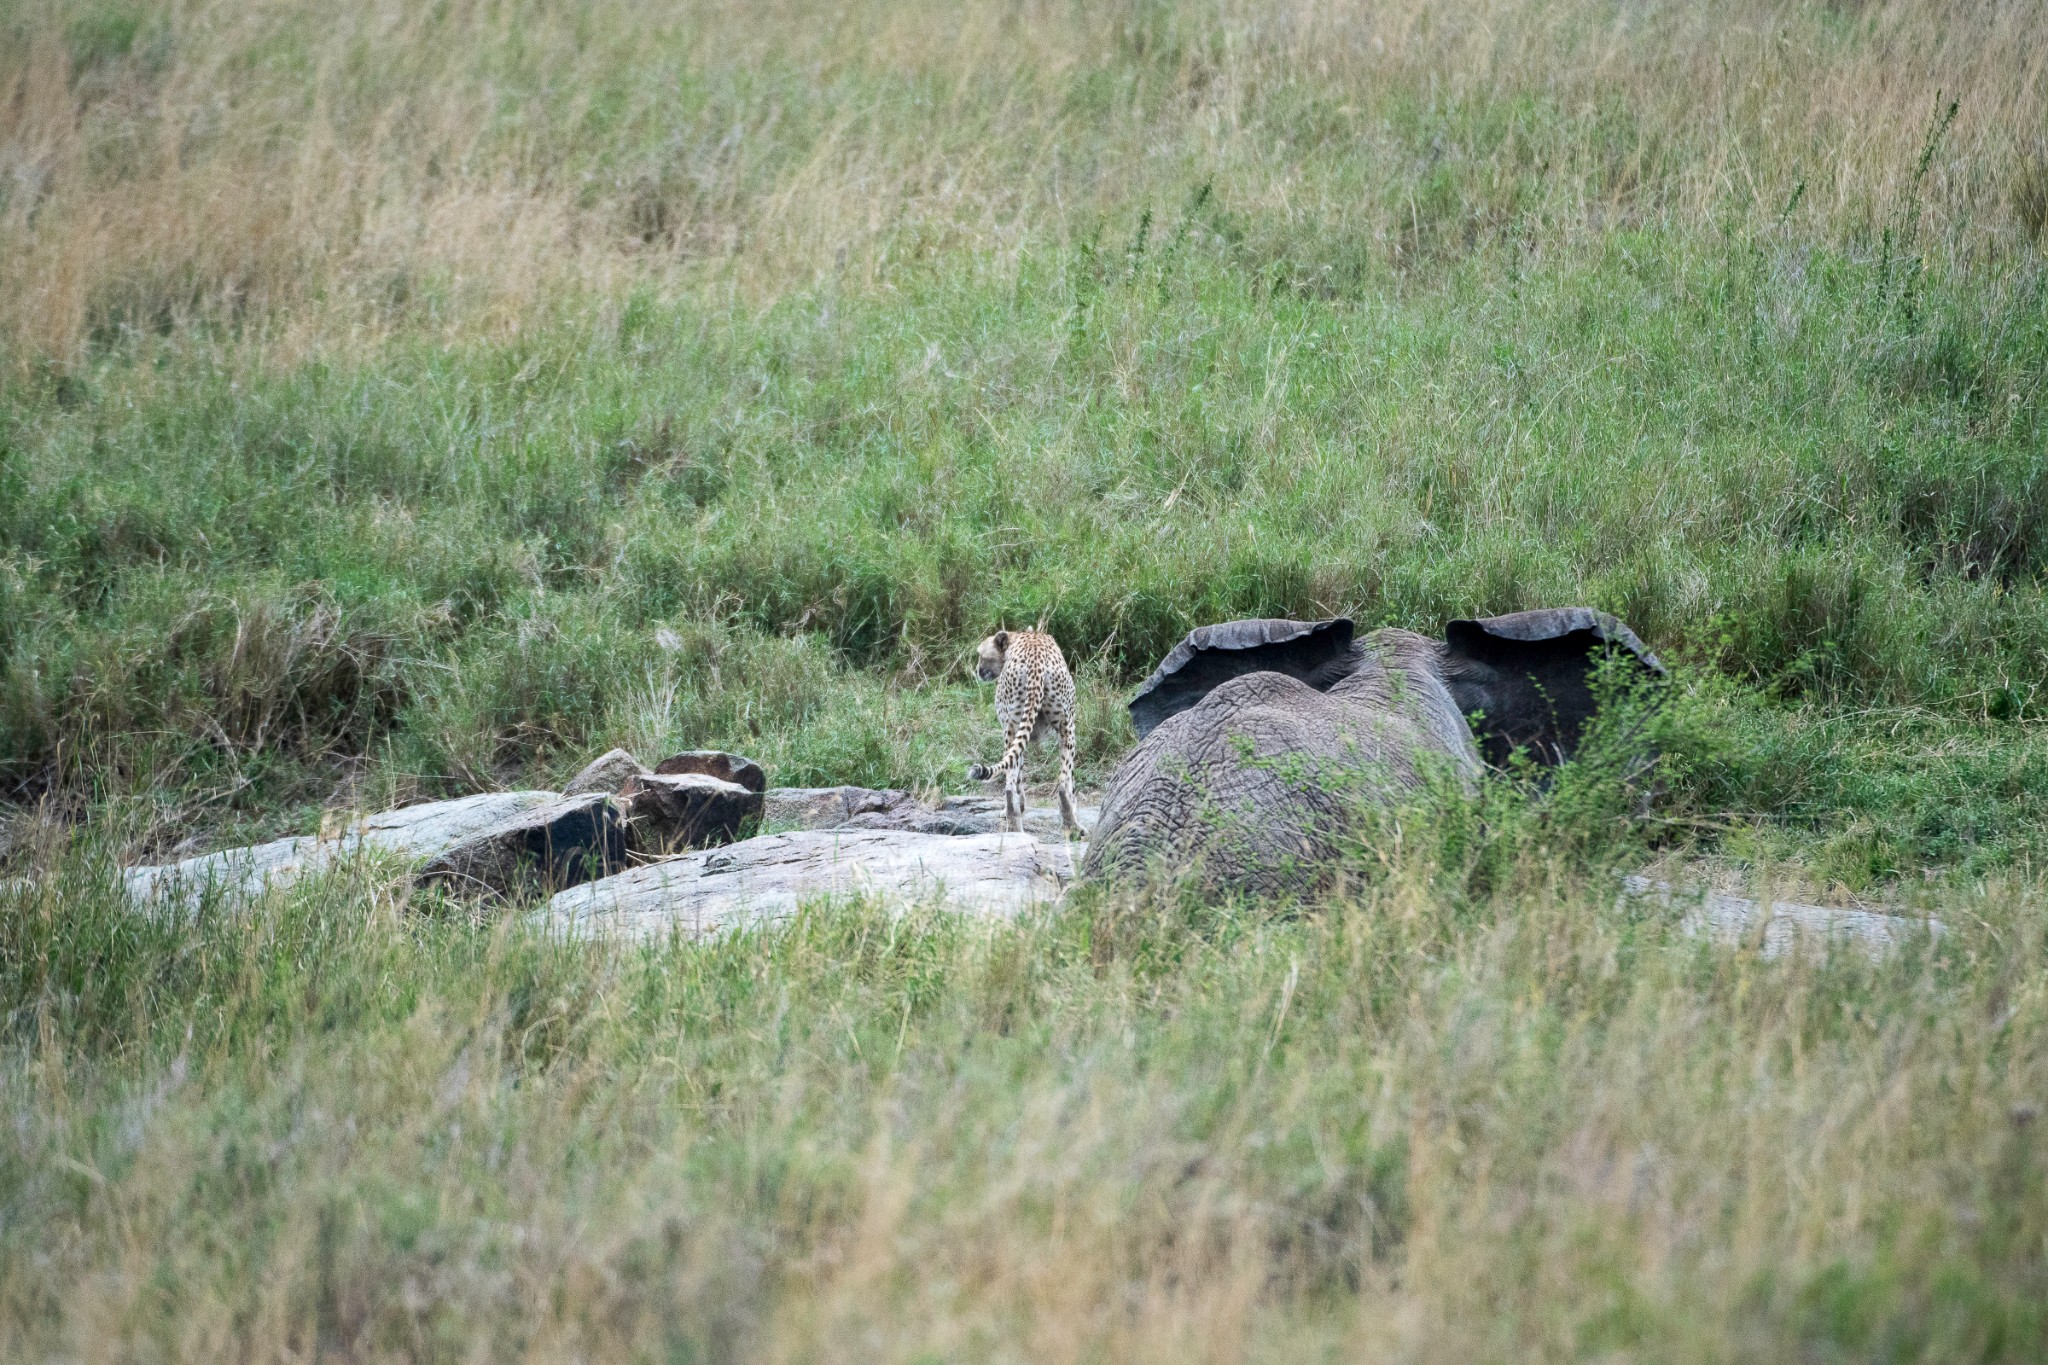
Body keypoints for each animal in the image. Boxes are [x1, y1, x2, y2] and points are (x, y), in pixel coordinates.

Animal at [962, 626, 1081, 834]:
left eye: (981, 655)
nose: (977, 672)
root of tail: (1036, 661)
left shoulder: (1014, 730)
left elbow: (1017, 775)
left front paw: (1019, 807)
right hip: (1066, 727)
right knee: (1062, 783)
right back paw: (1071, 826)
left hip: (1017, 729)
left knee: (1011, 785)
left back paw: (1016, 826)